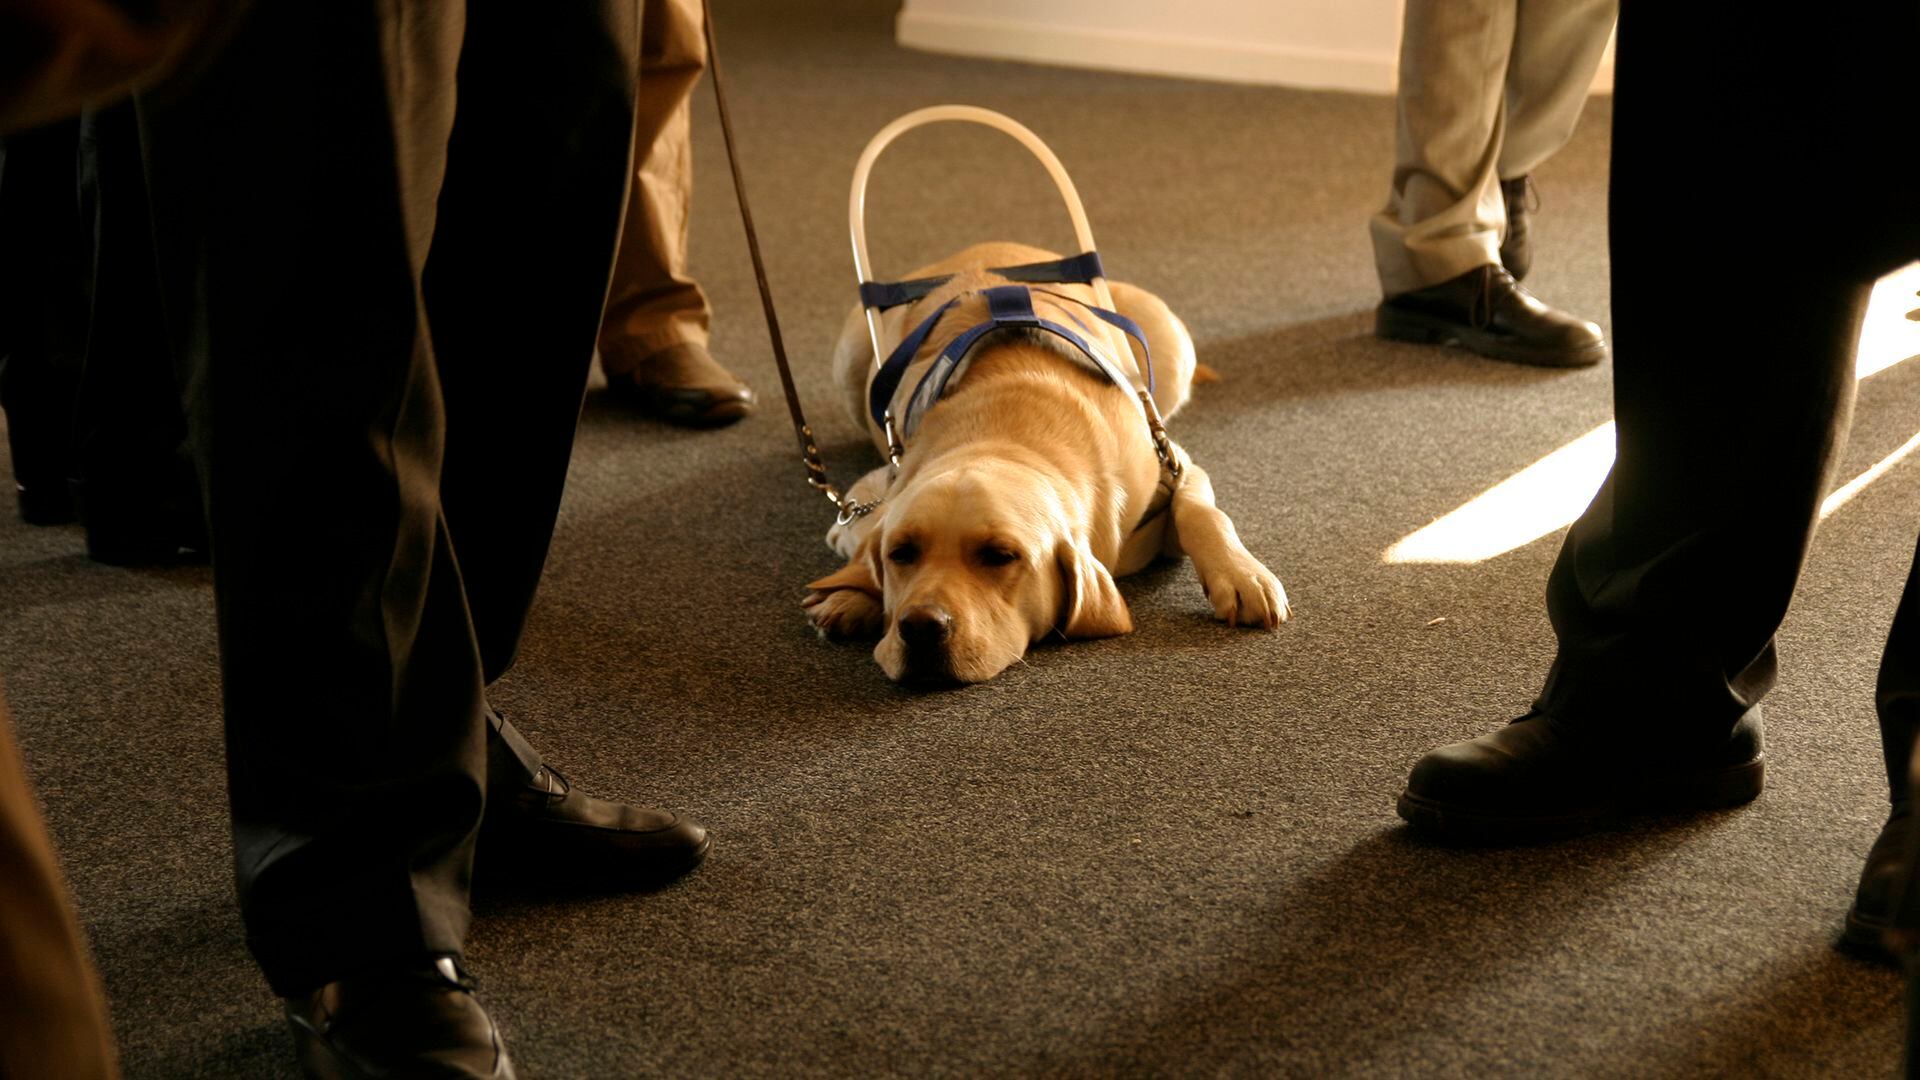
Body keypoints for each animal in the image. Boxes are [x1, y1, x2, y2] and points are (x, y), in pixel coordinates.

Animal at [798, 244, 1290, 680]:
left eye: (1000, 557)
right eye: (902, 553)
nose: (920, 627)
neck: (1006, 434)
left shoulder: (1170, 459)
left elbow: (1203, 513)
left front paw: (1240, 574)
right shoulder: (867, 496)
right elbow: (862, 546)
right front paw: (850, 597)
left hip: (1169, 344)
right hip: (851, 361)